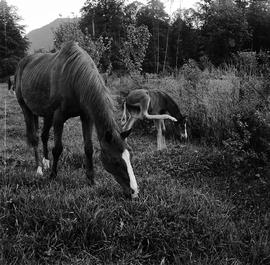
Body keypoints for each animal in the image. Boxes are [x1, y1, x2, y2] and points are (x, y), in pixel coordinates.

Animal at [16, 40, 139, 198]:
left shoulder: (86, 117)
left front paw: (91, 179)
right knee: (35, 138)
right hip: (26, 109)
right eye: (116, 161)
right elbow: (58, 148)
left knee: (44, 136)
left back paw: (46, 162)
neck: (73, 79)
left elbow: (89, 148)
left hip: (46, 114)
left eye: (131, 157)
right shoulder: (58, 117)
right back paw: (39, 169)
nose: (134, 192)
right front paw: (53, 176)